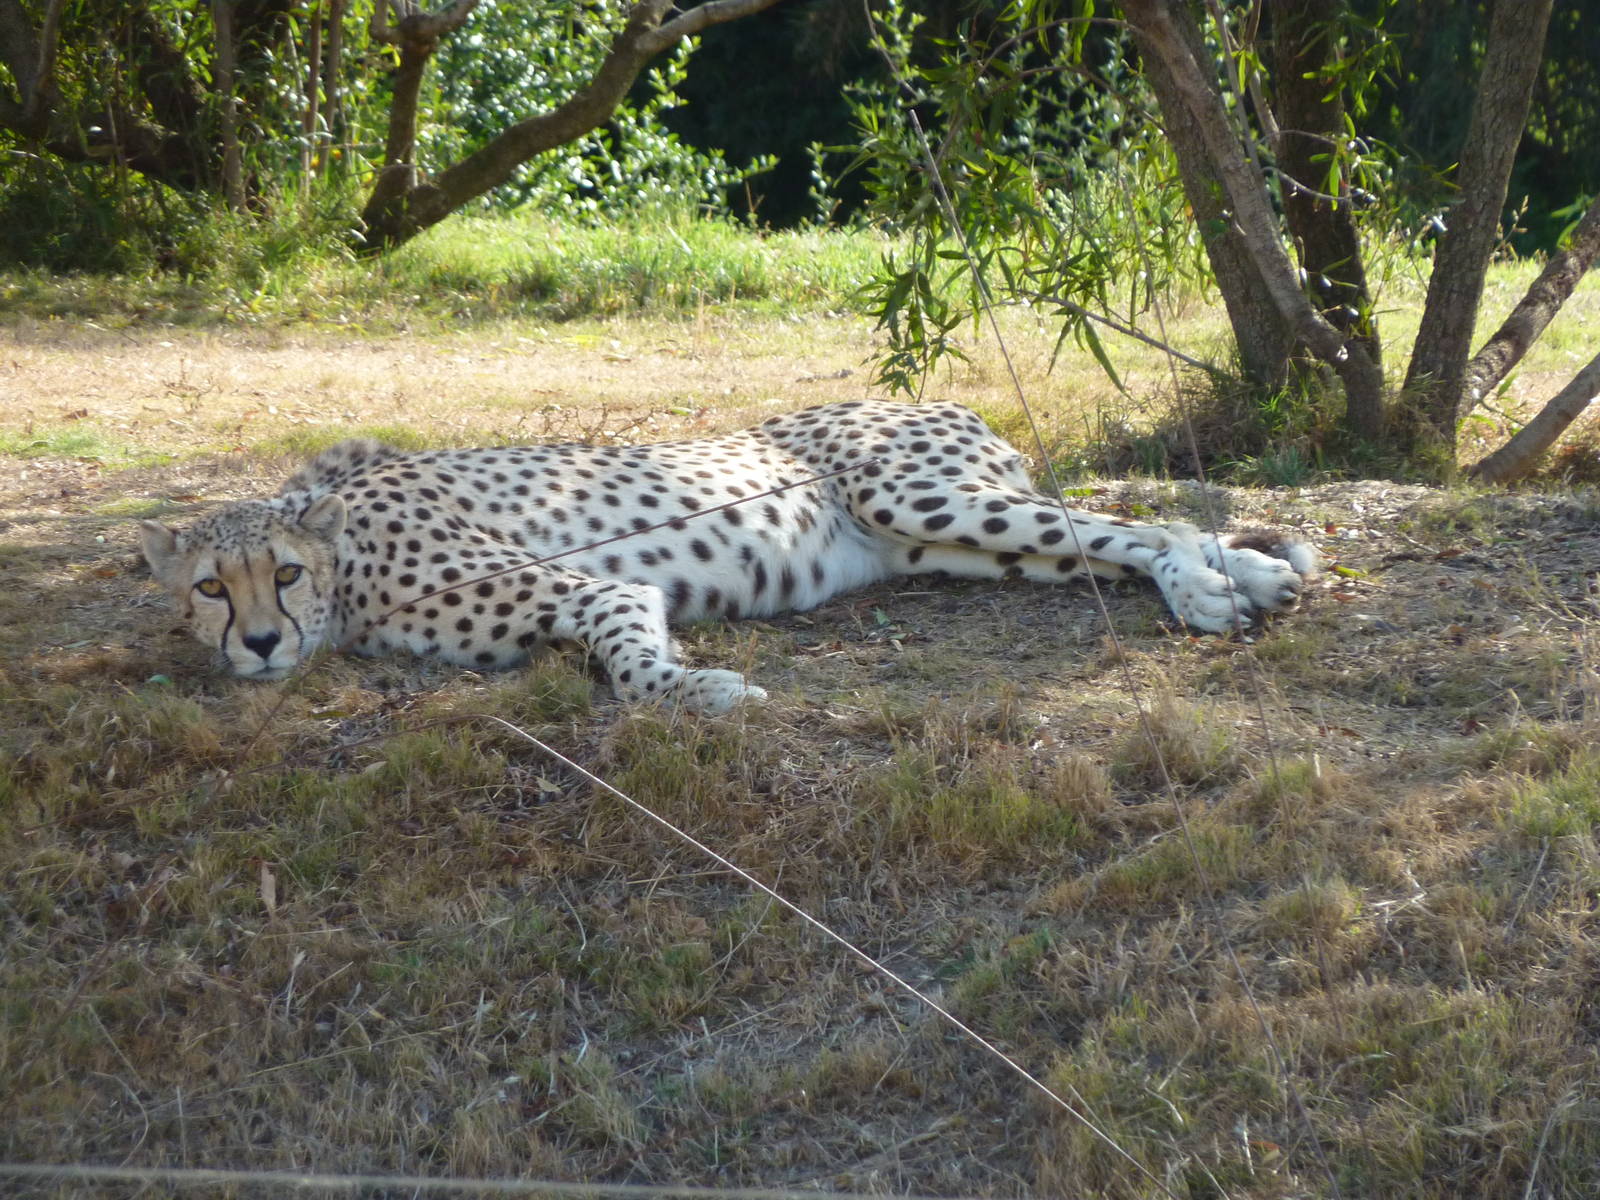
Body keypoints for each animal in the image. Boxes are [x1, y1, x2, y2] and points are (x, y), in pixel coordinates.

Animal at [139, 399, 1318, 713]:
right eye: (209, 589)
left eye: (283, 574)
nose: (258, 644)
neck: (351, 576)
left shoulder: (600, 584)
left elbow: (633, 661)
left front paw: (706, 691)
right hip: (949, 546)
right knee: (1111, 543)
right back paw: (1251, 573)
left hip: (914, 490)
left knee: (1145, 529)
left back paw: (1216, 591)